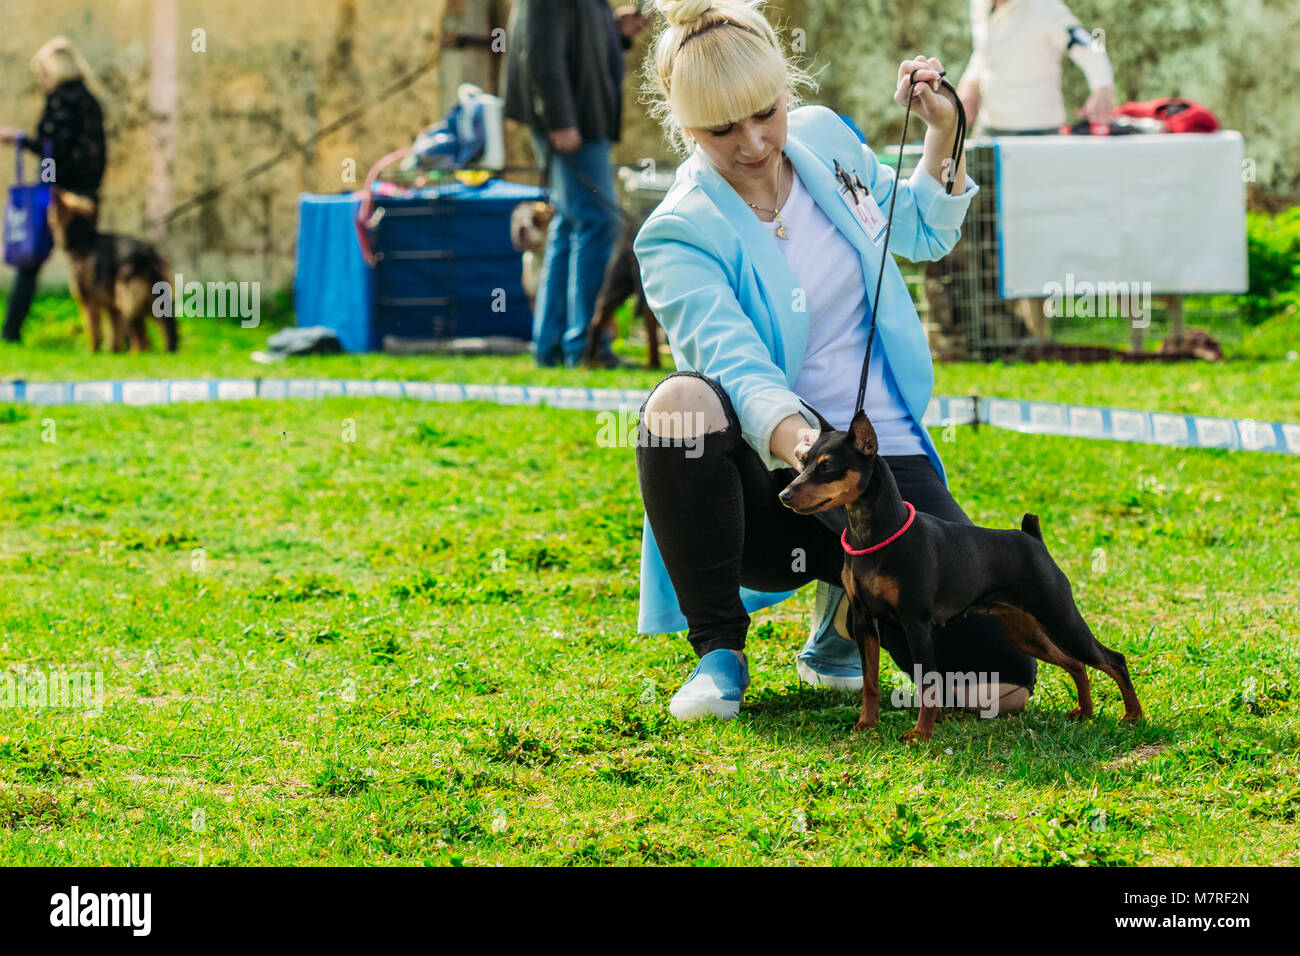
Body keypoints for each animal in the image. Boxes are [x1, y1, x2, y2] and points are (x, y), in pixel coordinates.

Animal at [48, 188, 176, 353]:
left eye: (50, 211)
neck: (84, 239)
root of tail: (146, 254)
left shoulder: (89, 302)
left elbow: (93, 329)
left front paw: (92, 351)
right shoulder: (112, 307)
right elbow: (114, 332)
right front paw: (113, 351)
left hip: (128, 303)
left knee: (142, 340)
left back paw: (136, 354)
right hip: (152, 302)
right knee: (168, 330)